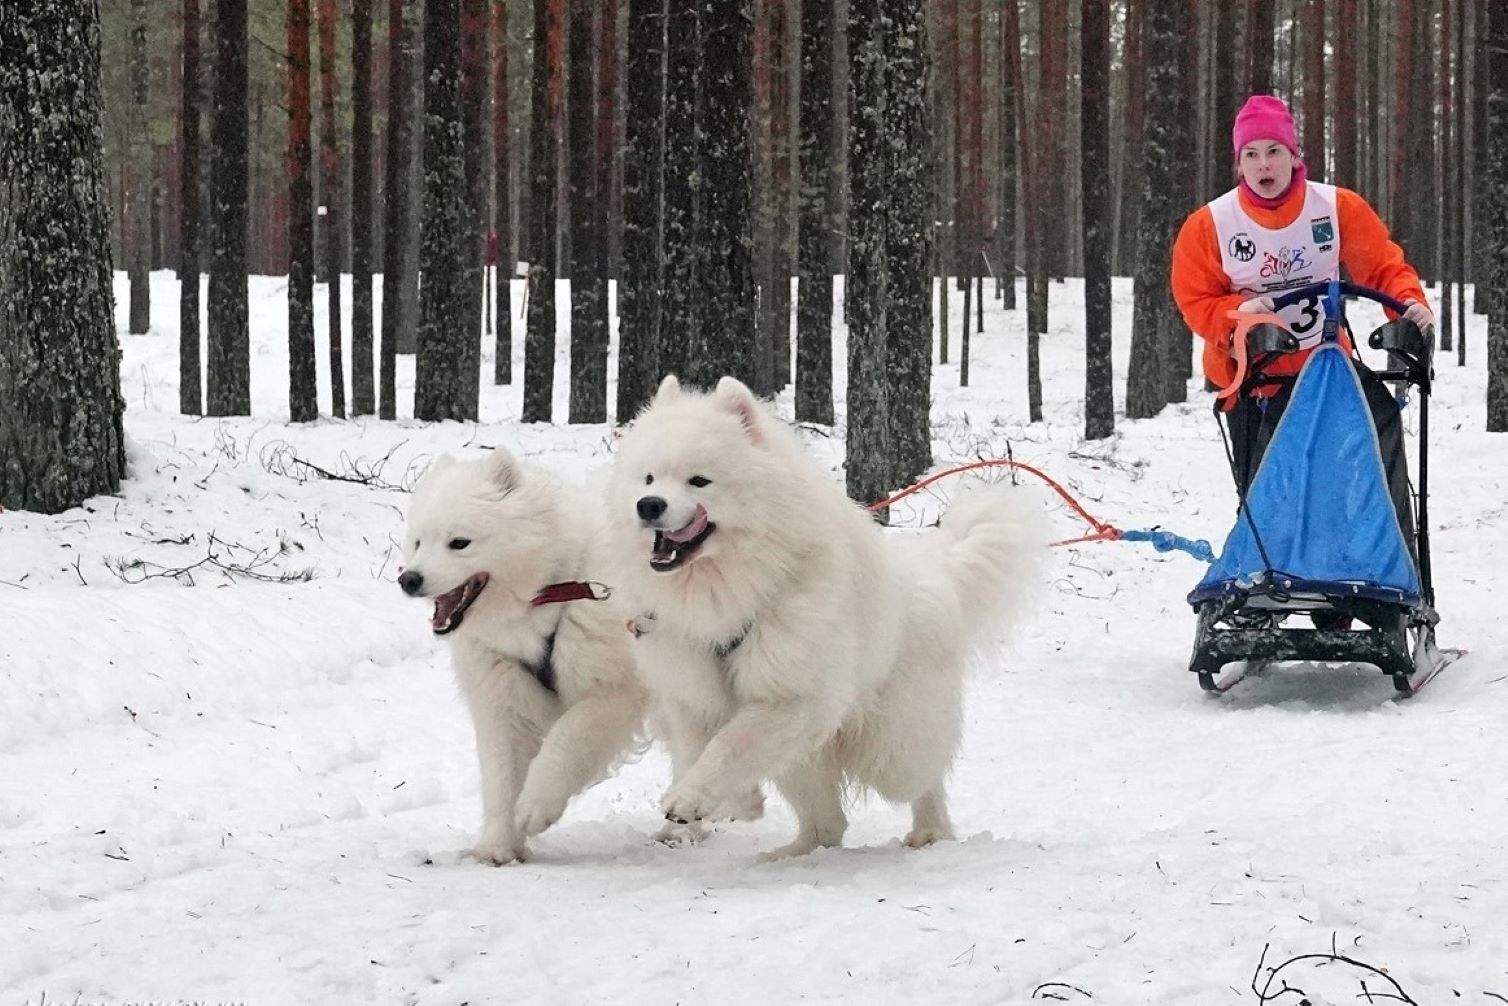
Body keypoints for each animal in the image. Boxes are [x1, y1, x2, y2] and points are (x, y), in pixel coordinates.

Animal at [398, 449, 645, 868]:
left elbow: (567, 736)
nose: (408, 579)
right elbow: (501, 775)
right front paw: (497, 848)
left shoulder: (613, 689)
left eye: (459, 542)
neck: (552, 591)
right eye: (418, 541)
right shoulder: (503, 694)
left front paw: (535, 807)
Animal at [606, 374, 1043, 862]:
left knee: (921, 780)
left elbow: (731, 745)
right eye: (648, 477)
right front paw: (733, 804)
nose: (648, 505)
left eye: (699, 481)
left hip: (892, 744)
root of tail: (936, 572)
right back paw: (788, 854)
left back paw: (930, 834)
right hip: (808, 757)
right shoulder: (693, 694)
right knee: (827, 825)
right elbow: (700, 750)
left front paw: (689, 801)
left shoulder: (794, 696)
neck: (724, 588)